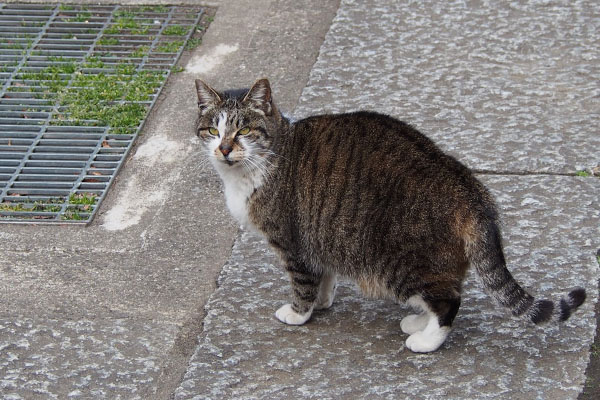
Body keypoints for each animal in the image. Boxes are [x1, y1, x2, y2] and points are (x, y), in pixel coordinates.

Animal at [193, 78, 584, 354]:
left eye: (244, 129)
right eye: (213, 129)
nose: (224, 148)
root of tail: (470, 188)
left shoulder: (292, 244)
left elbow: (303, 283)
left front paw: (299, 312)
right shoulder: (318, 237)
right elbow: (324, 275)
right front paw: (322, 302)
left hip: (399, 262)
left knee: (448, 300)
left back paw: (425, 340)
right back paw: (418, 323)